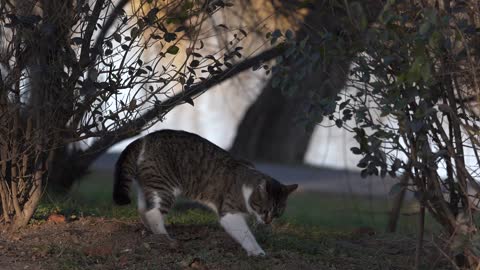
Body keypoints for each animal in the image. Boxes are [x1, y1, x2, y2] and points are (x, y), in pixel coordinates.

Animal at [114, 130, 298, 256]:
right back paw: (164, 237)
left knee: (143, 209)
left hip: (148, 185)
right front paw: (257, 251)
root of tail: (144, 139)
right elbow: (246, 234)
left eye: (277, 212)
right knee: (153, 213)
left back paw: (151, 231)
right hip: (165, 187)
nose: (267, 221)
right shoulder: (229, 213)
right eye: (265, 210)